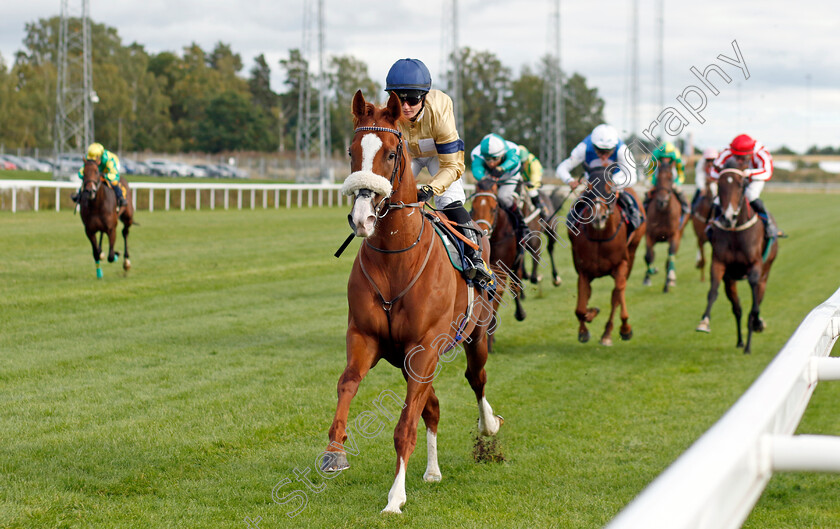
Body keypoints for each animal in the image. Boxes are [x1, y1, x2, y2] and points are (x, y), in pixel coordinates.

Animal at [324, 89, 502, 512]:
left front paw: (395, 497)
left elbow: (405, 426)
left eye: (391, 154)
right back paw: (433, 471)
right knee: (432, 407)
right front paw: (334, 452)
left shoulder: (425, 347)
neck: (396, 260)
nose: (361, 218)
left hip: (474, 337)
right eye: (352, 151)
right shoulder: (367, 338)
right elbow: (347, 383)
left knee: (476, 379)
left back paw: (488, 424)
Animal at [568, 167, 648, 344]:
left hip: (632, 253)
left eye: (610, 189)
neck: (600, 237)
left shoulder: (621, 264)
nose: (598, 217)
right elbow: (580, 307)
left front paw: (624, 329)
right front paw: (585, 327)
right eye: (588, 189)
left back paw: (610, 333)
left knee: (617, 294)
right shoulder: (583, 270)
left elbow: (617, 294)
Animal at [644, 156, 688, 292]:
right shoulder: (649, 235)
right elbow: (649, 256)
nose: (662, 201)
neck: (663, 213)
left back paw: (671, 279)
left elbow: (670, 258)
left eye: (670, 177)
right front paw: (649, 275)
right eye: (657, 178)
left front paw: (667, 285)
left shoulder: (674, 236)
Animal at [692, 167, 776, 352]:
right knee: (737, 309)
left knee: (757, 300)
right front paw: (704, 322)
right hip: (730, 280)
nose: (728, 217)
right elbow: (713, 291)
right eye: (719, 185)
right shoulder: (719, 264)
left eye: (741, 184)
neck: (736, 230)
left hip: (766, 273)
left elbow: (754, 305)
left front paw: (755, 328)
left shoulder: (755, 267)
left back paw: (753, 333)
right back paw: (740, 341)